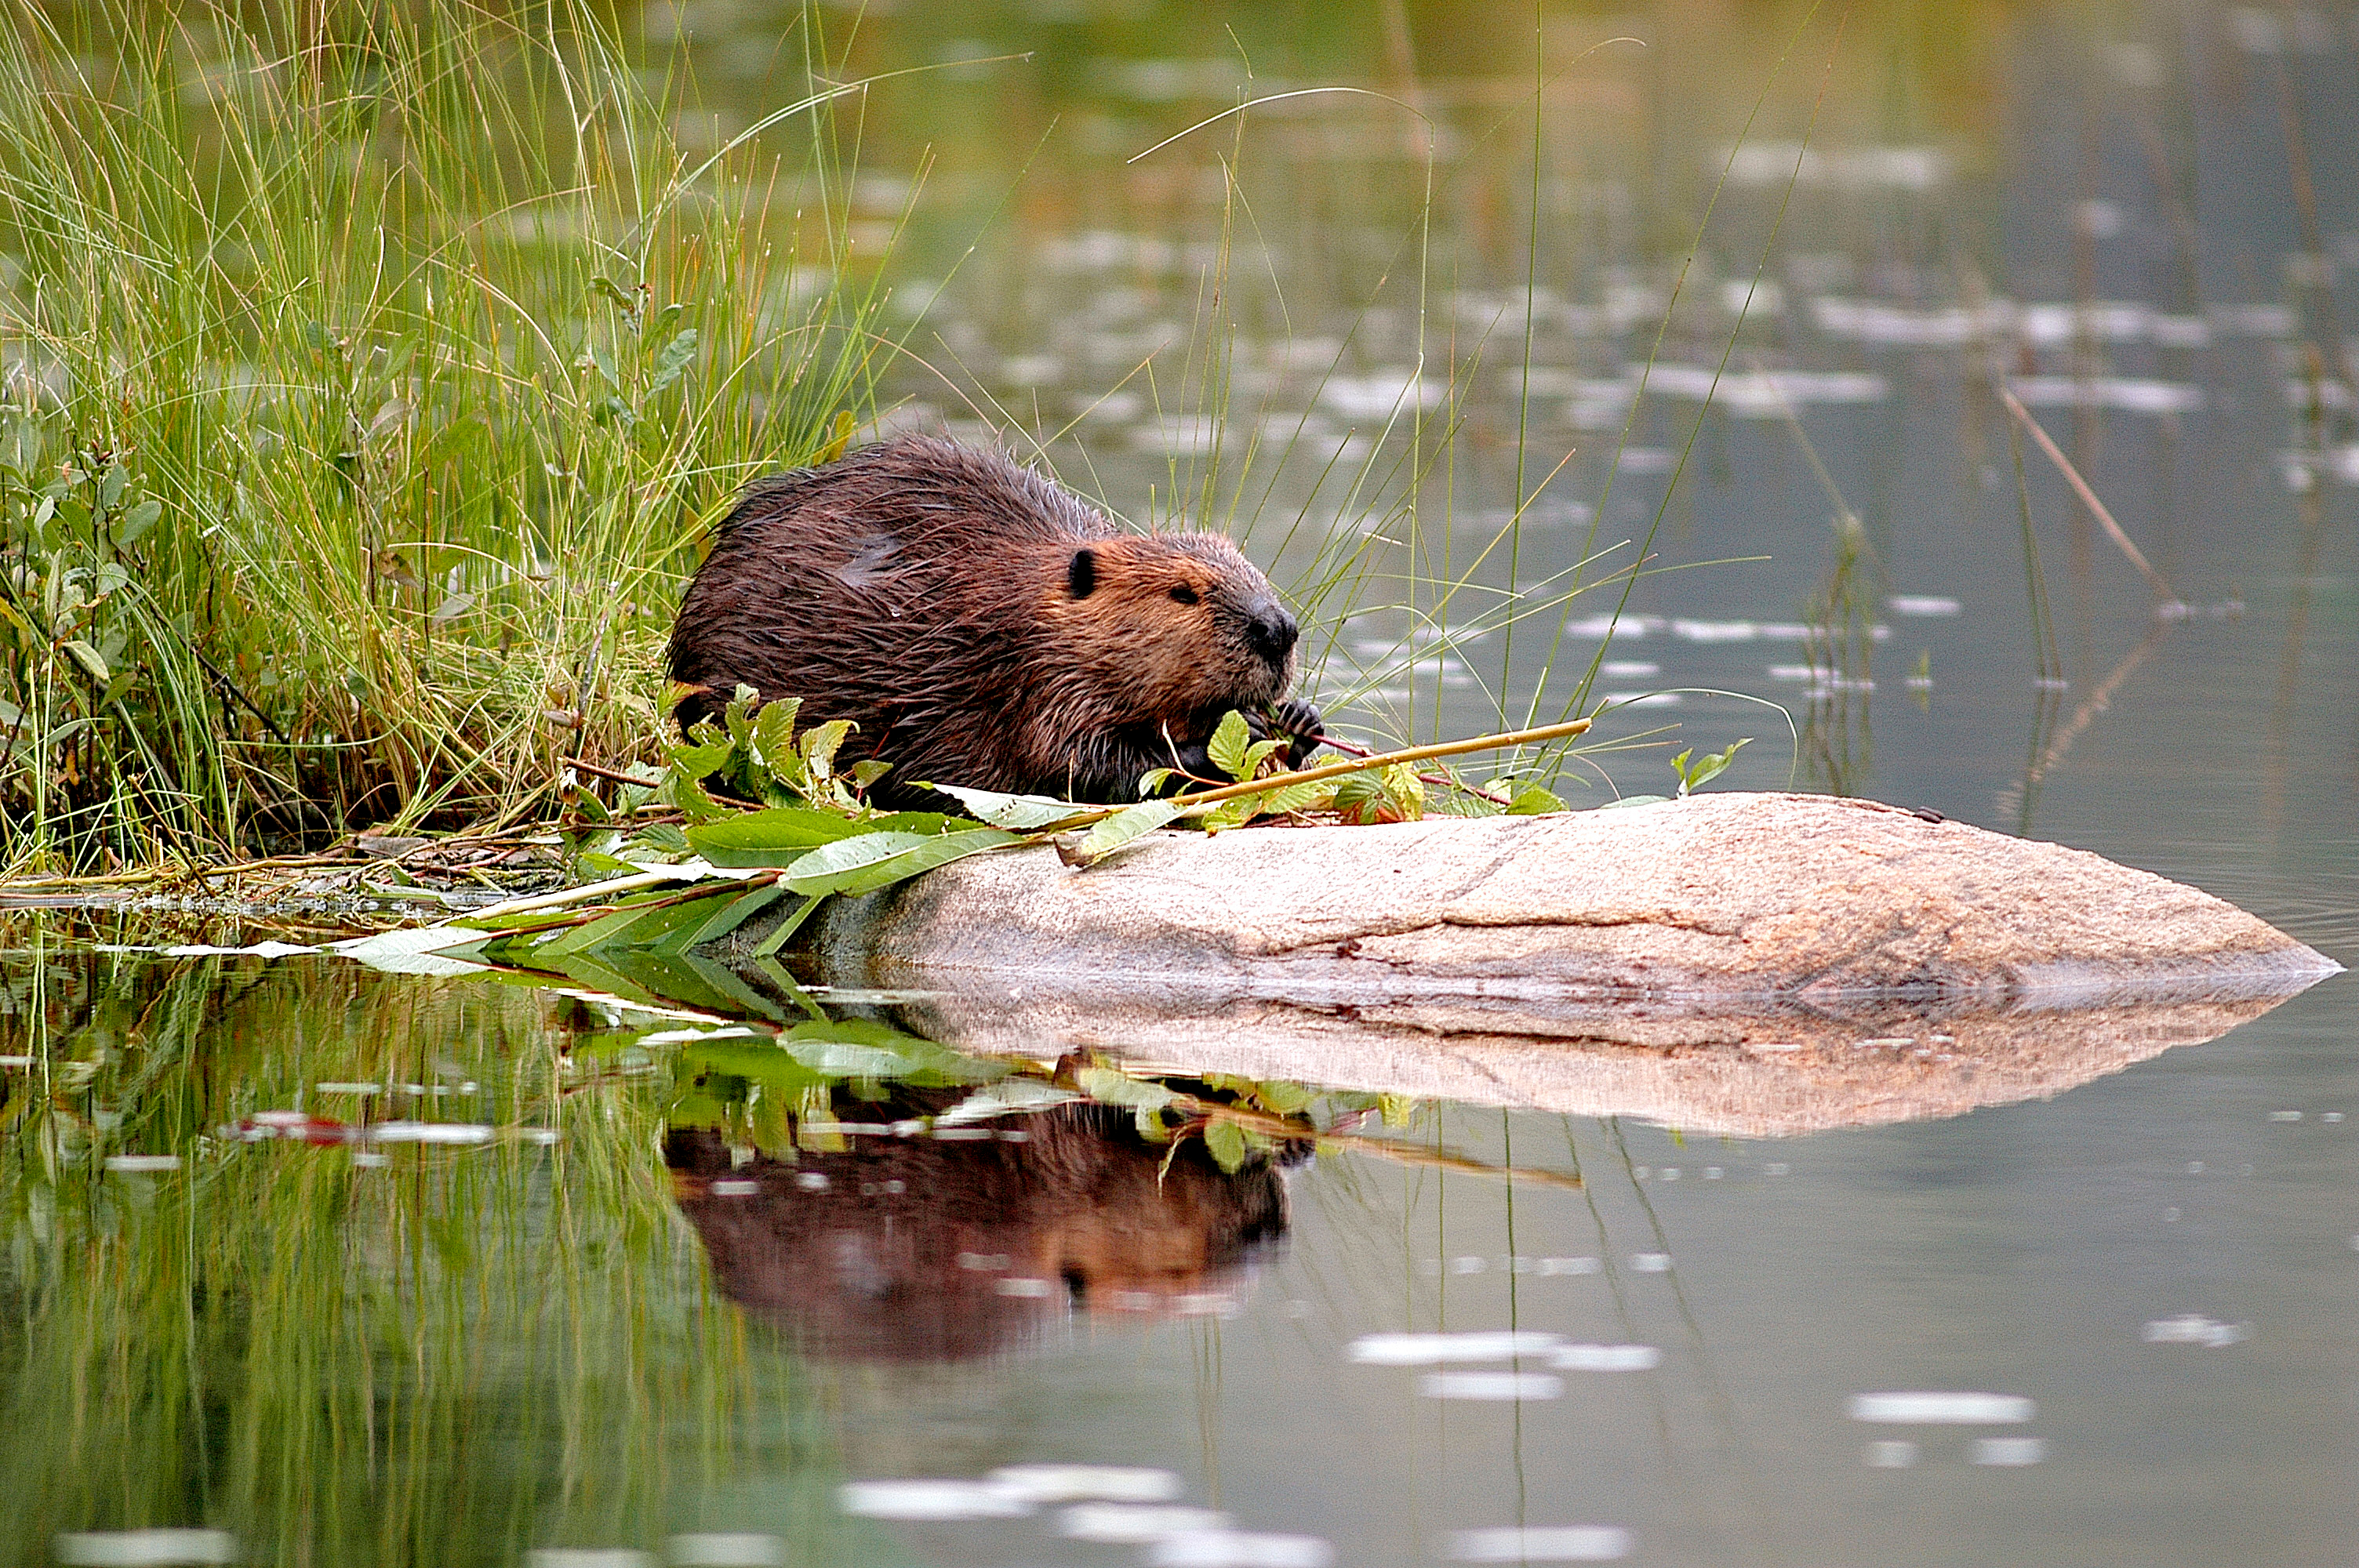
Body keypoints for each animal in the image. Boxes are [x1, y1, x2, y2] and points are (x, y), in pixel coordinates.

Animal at [674, 434, 1321, 801]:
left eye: (1257, 573)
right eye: (1183, 592)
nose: (1278, 629)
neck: (1026, 602)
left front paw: (1297, 720)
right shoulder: (1031, 680)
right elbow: (1081, 762)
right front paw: (1227, 741)